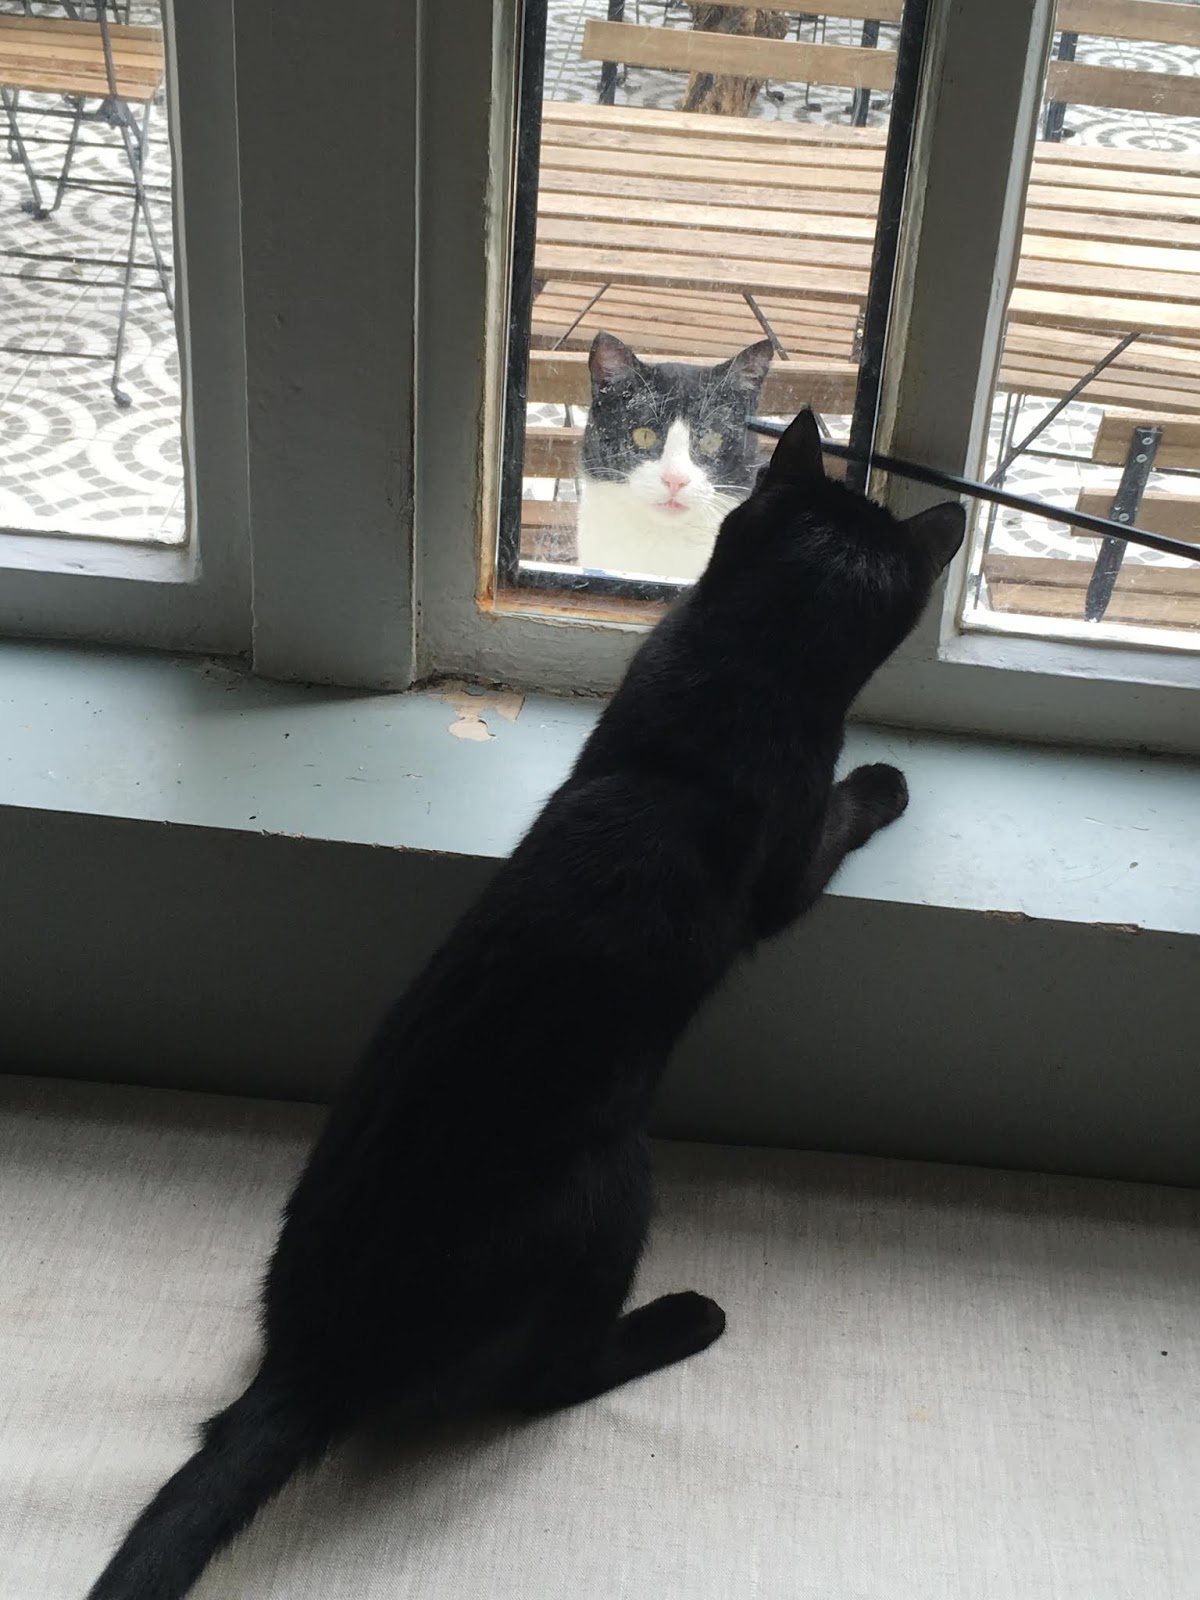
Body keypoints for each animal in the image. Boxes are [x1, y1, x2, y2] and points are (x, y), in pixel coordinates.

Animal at [85, 410, 964, 1600]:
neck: (740, 666)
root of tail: (311, 1362)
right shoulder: (783, 870)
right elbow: (834, 821)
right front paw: (880, 782)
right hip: (614, 1187)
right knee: (549, 1381)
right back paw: (681, 1320)